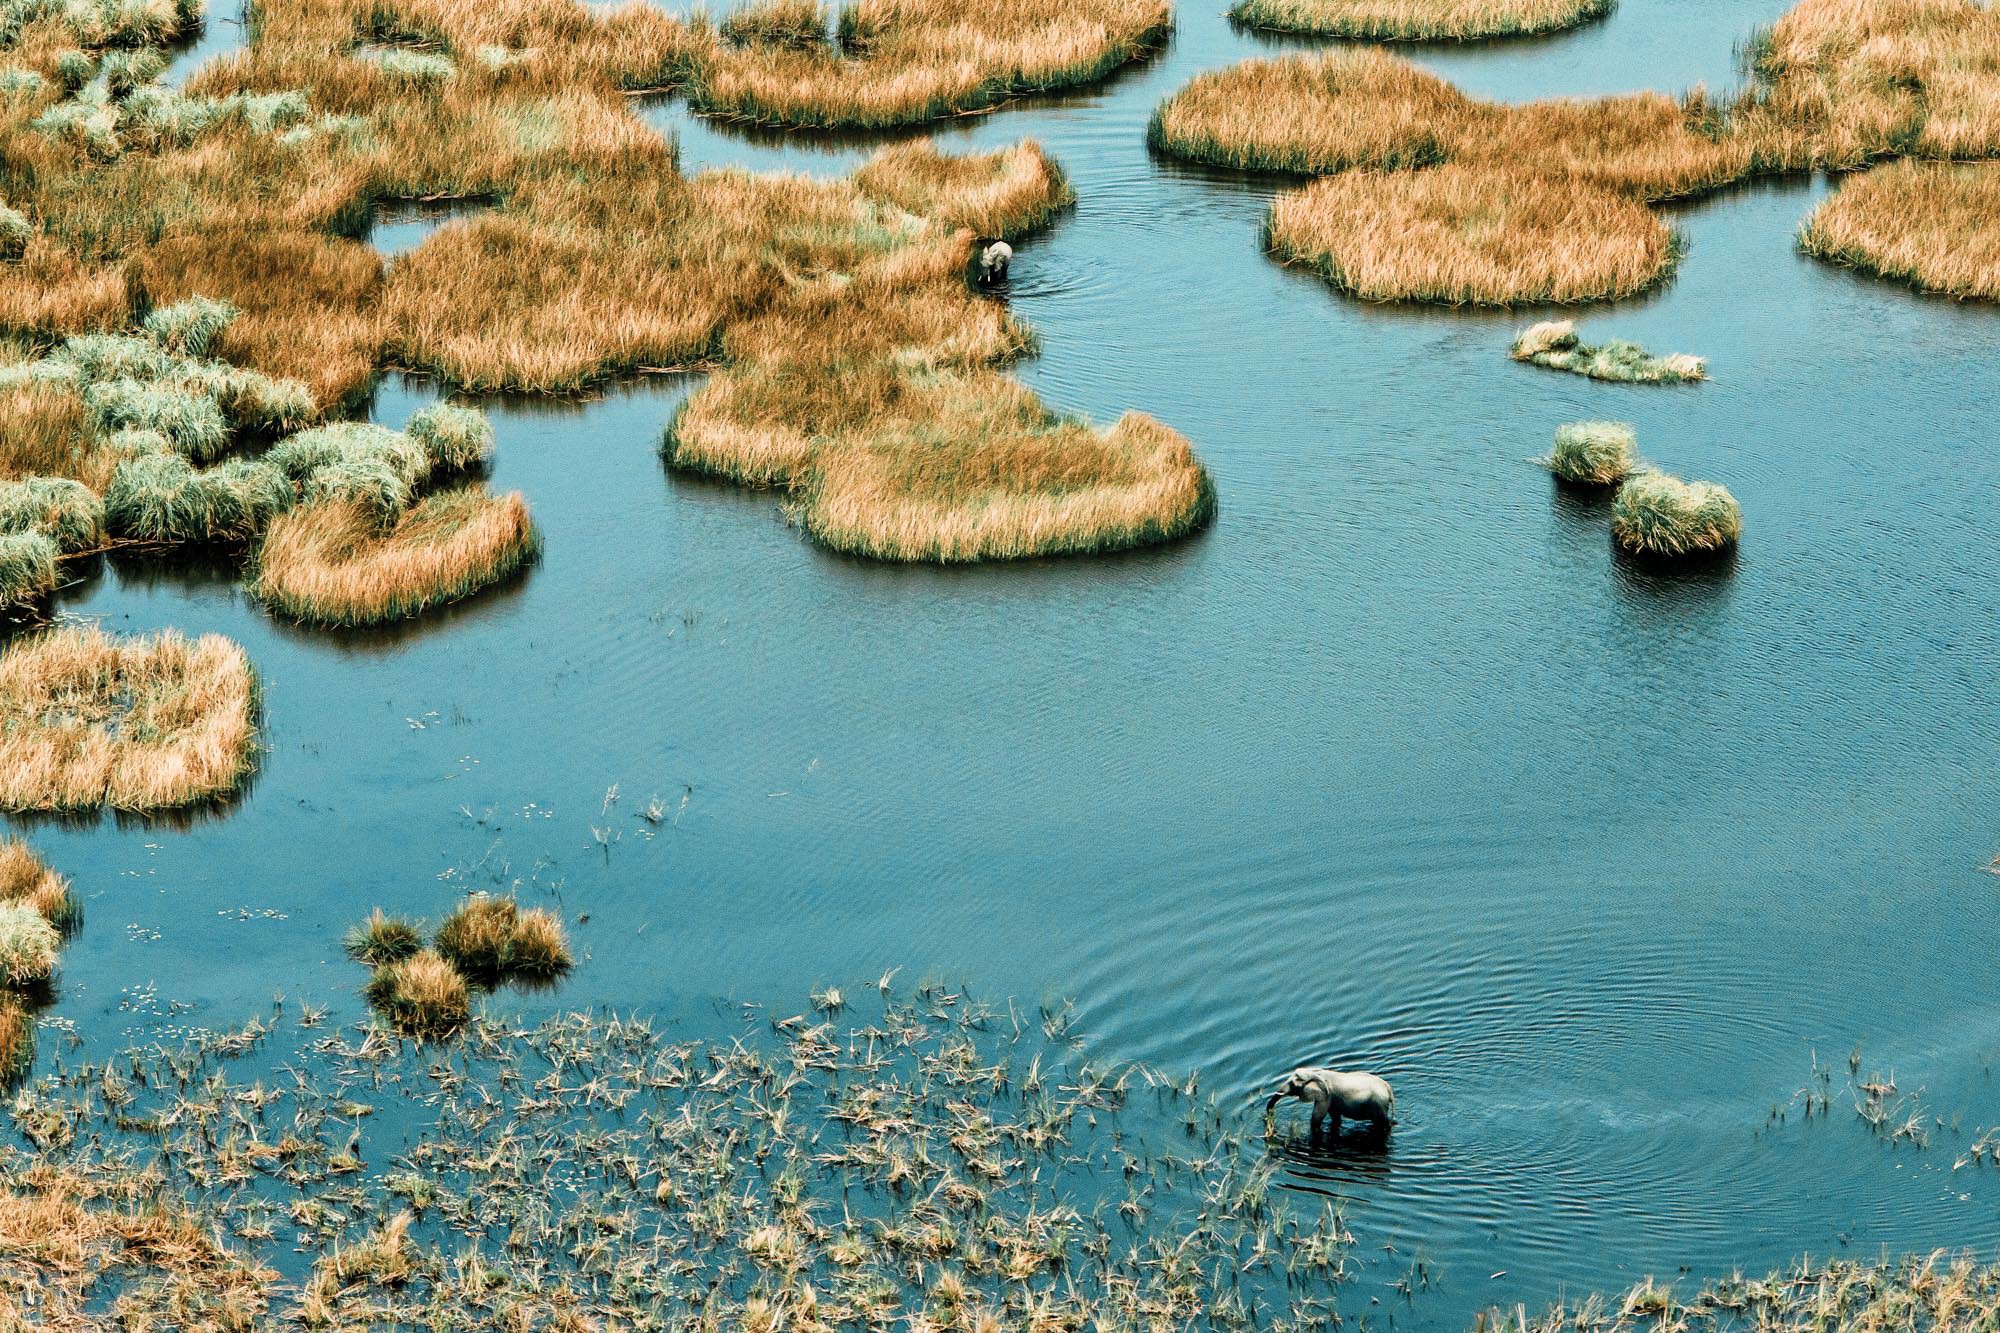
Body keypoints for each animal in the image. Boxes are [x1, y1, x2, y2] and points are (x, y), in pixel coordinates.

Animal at [1264, 1067, 1394, 1139]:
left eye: (1293, 1084)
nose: (1270, 1117)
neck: (1315, 1072)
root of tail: (1389, 1089)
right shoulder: (1331, 1098)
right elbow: (1335, 1117)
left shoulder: (1326, 1095)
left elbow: (1317, 1117)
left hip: (1379, 1104)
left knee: (1383, 1124)